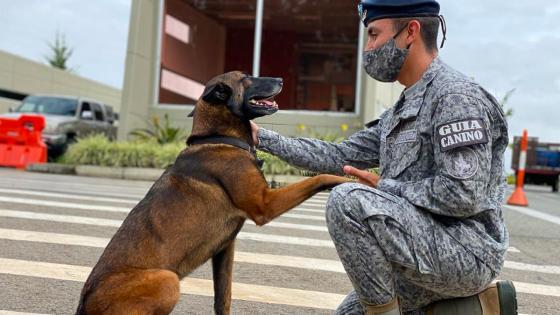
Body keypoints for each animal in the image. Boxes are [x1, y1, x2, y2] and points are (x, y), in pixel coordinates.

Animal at [76, 71, 352, 315]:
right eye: (246, 78)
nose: (281, 79)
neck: (218, 137)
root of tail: (84, 306)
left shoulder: (225, 249)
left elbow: (223, 299)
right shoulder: (264, 204)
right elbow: (318, 177)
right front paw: (349, 179)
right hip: (168, 279)